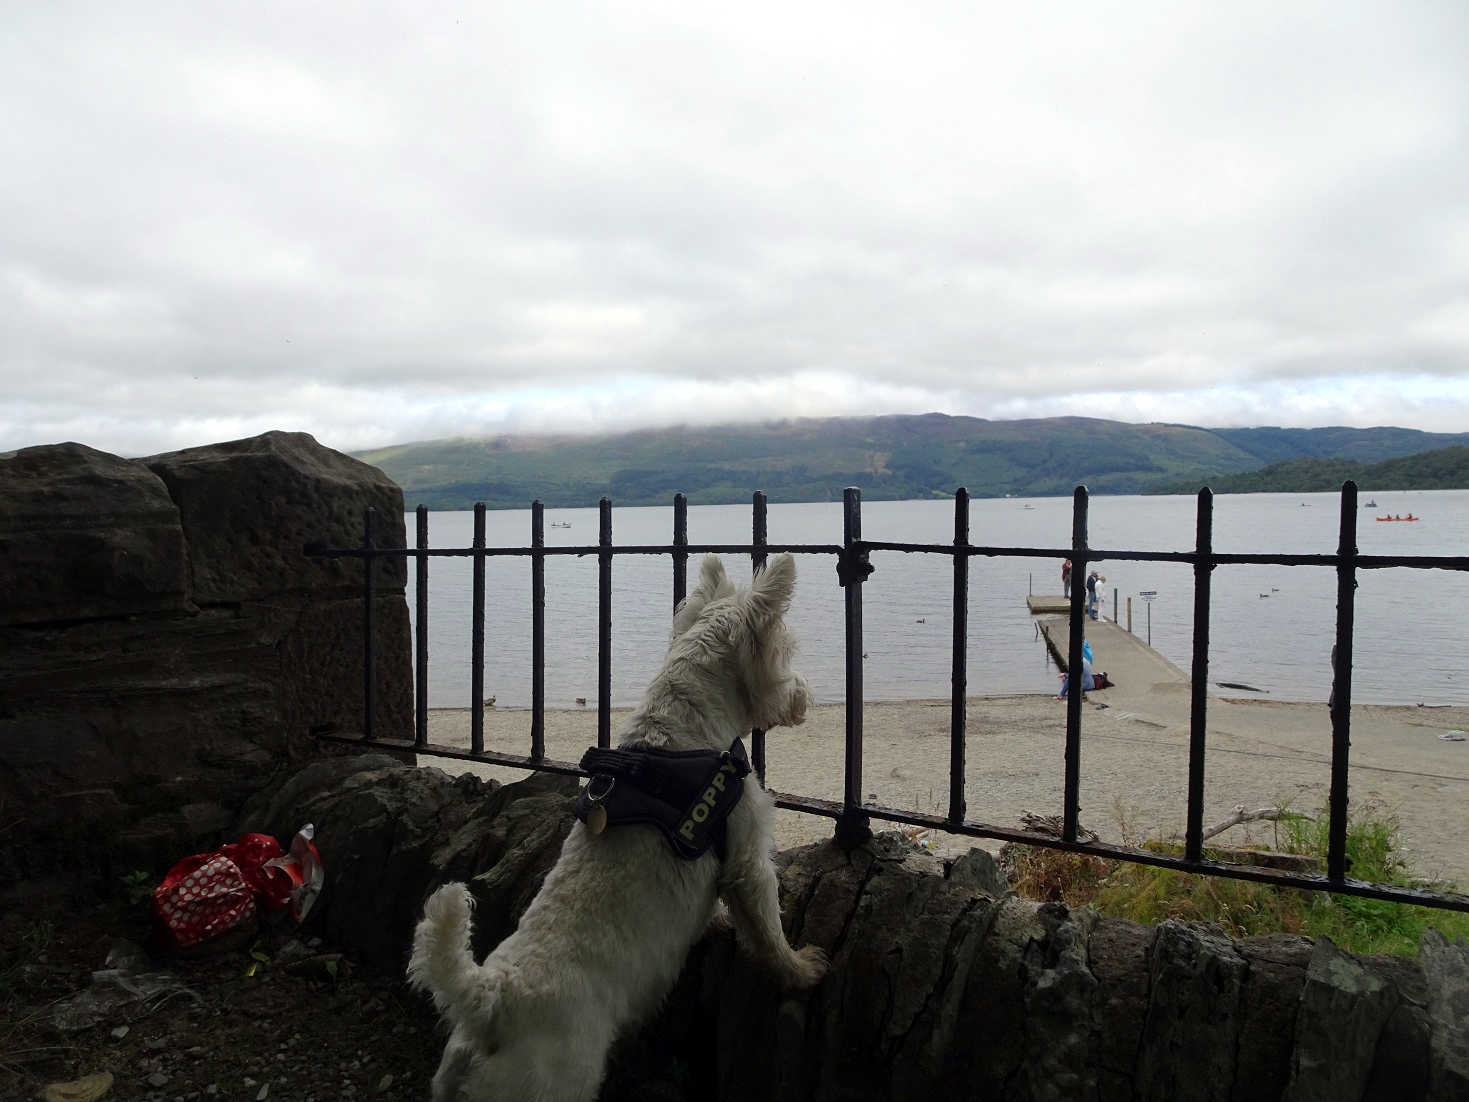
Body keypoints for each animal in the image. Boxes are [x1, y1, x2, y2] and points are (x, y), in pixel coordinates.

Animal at [411, 561, 828, 1102]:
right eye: (786, 648)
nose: (806, 696)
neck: (680, 728)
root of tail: (495, 1003)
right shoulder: (747, 855)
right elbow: (767, 926)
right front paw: (802, 969)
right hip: (558, 1084)